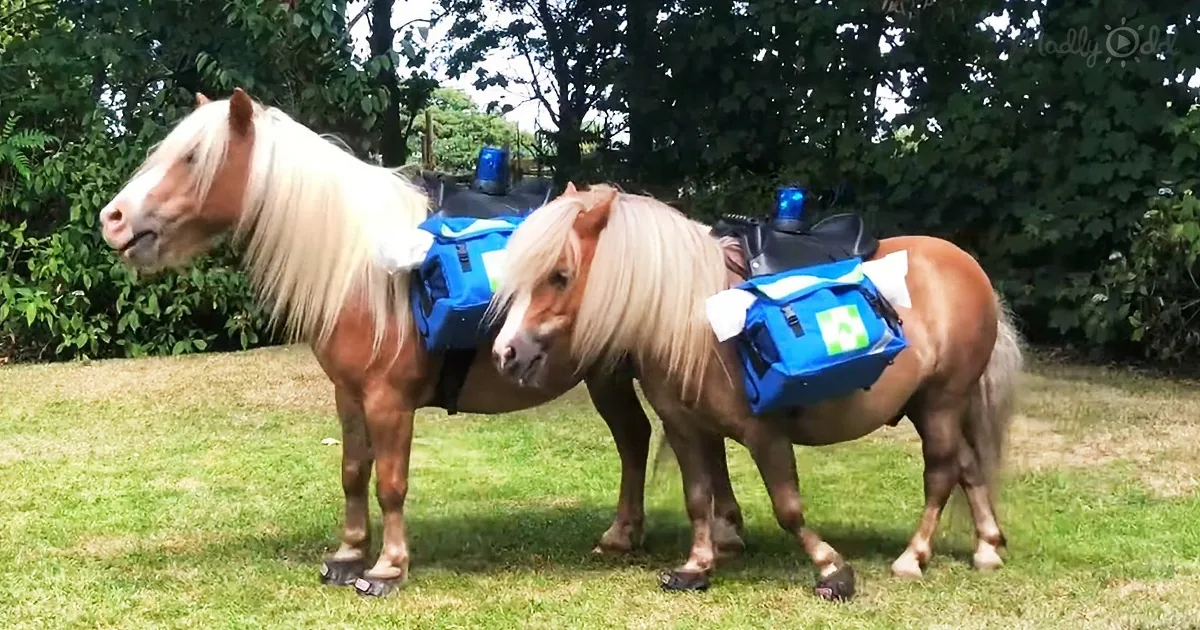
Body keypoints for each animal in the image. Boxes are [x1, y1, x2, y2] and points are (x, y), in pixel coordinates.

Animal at [93, 88, 748, 597]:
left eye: (192, 157)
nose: (113, 219)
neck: (365, 270)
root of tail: (709, 247)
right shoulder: (349, 396)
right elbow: (353, 471)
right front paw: (348, 554)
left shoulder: (389, 400)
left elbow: (391, 481)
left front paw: (386, 568)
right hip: (607, 373)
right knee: (639, 440)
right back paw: (641, 534)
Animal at [487, 183, 1025, 600]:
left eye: (560, 275)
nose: (506, 353)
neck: (693, 319)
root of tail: (968, 266)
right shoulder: (686, 427)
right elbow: (698, 498)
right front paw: (697, 565)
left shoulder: (763, 433)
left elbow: (788, 508)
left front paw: (832, 569)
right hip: (928, 405)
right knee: (968, 466)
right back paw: (986, 547)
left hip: (941, 402)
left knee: (941, 473)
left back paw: (913, 557)